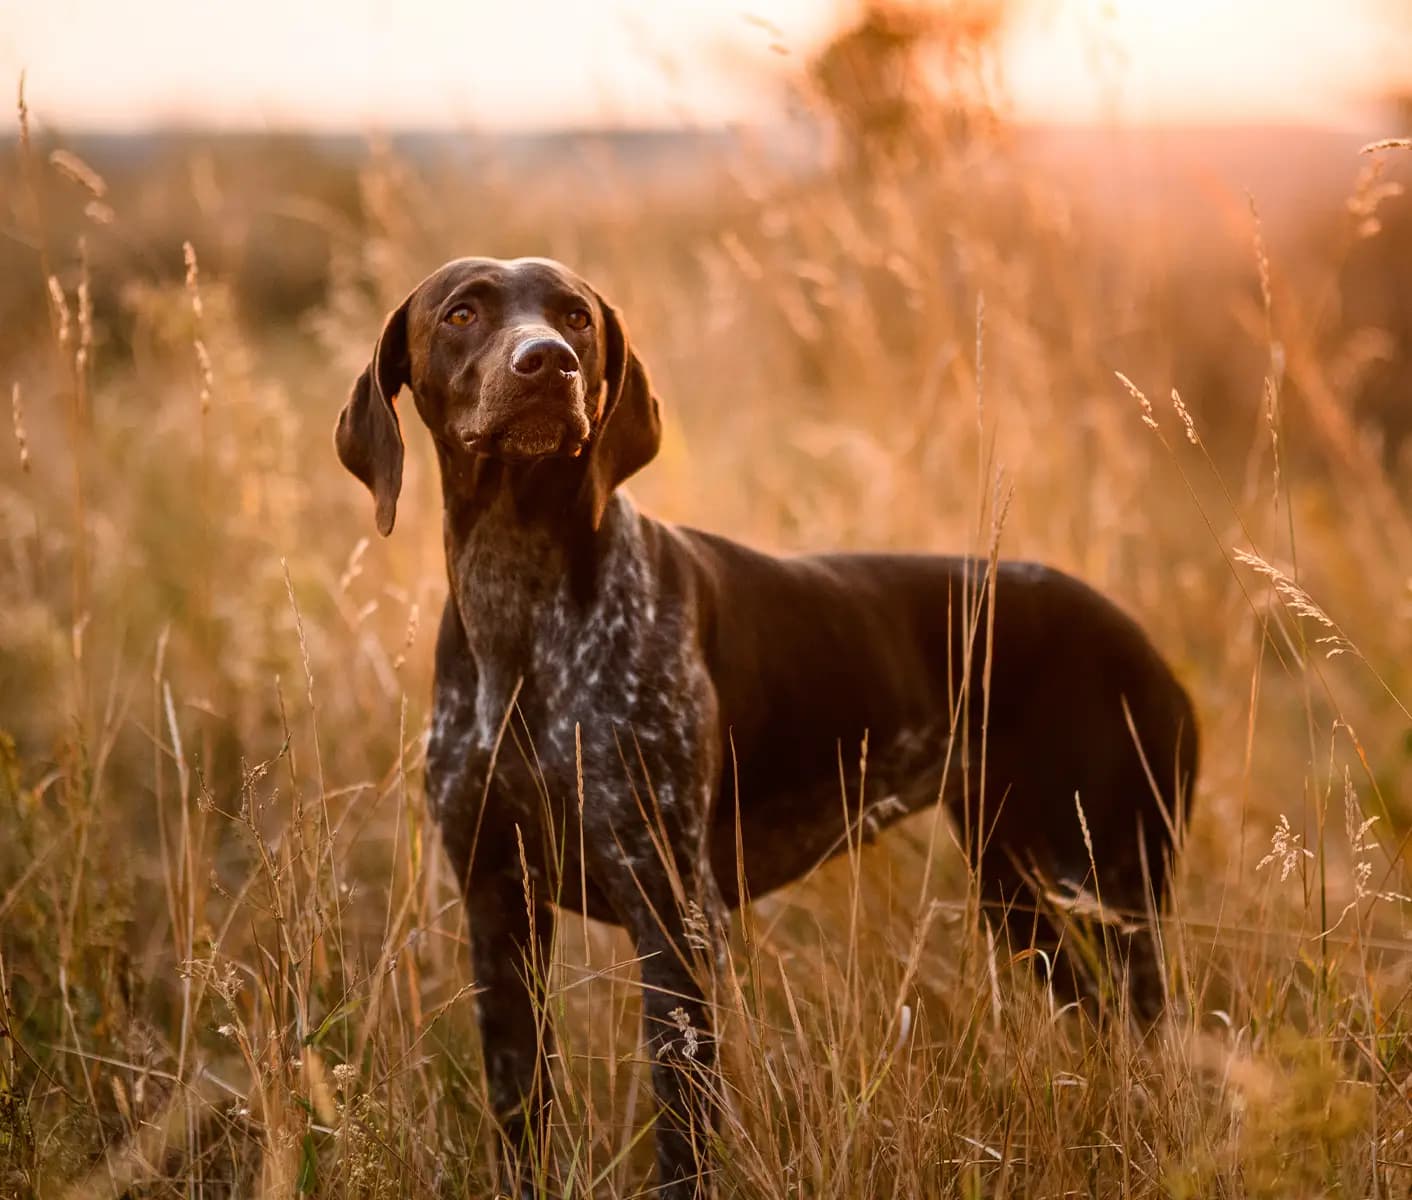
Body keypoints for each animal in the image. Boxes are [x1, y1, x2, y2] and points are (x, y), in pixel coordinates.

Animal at [333, 256, 1203, 1191]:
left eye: (575, 317)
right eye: (462, 312)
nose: (548, 363)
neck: (520, 607)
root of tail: (1149, 650)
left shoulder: (675, 922)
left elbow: (684, 1134)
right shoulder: (499, 909)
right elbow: (519, 1111)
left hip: (1094, 895)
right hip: (1030, 901)